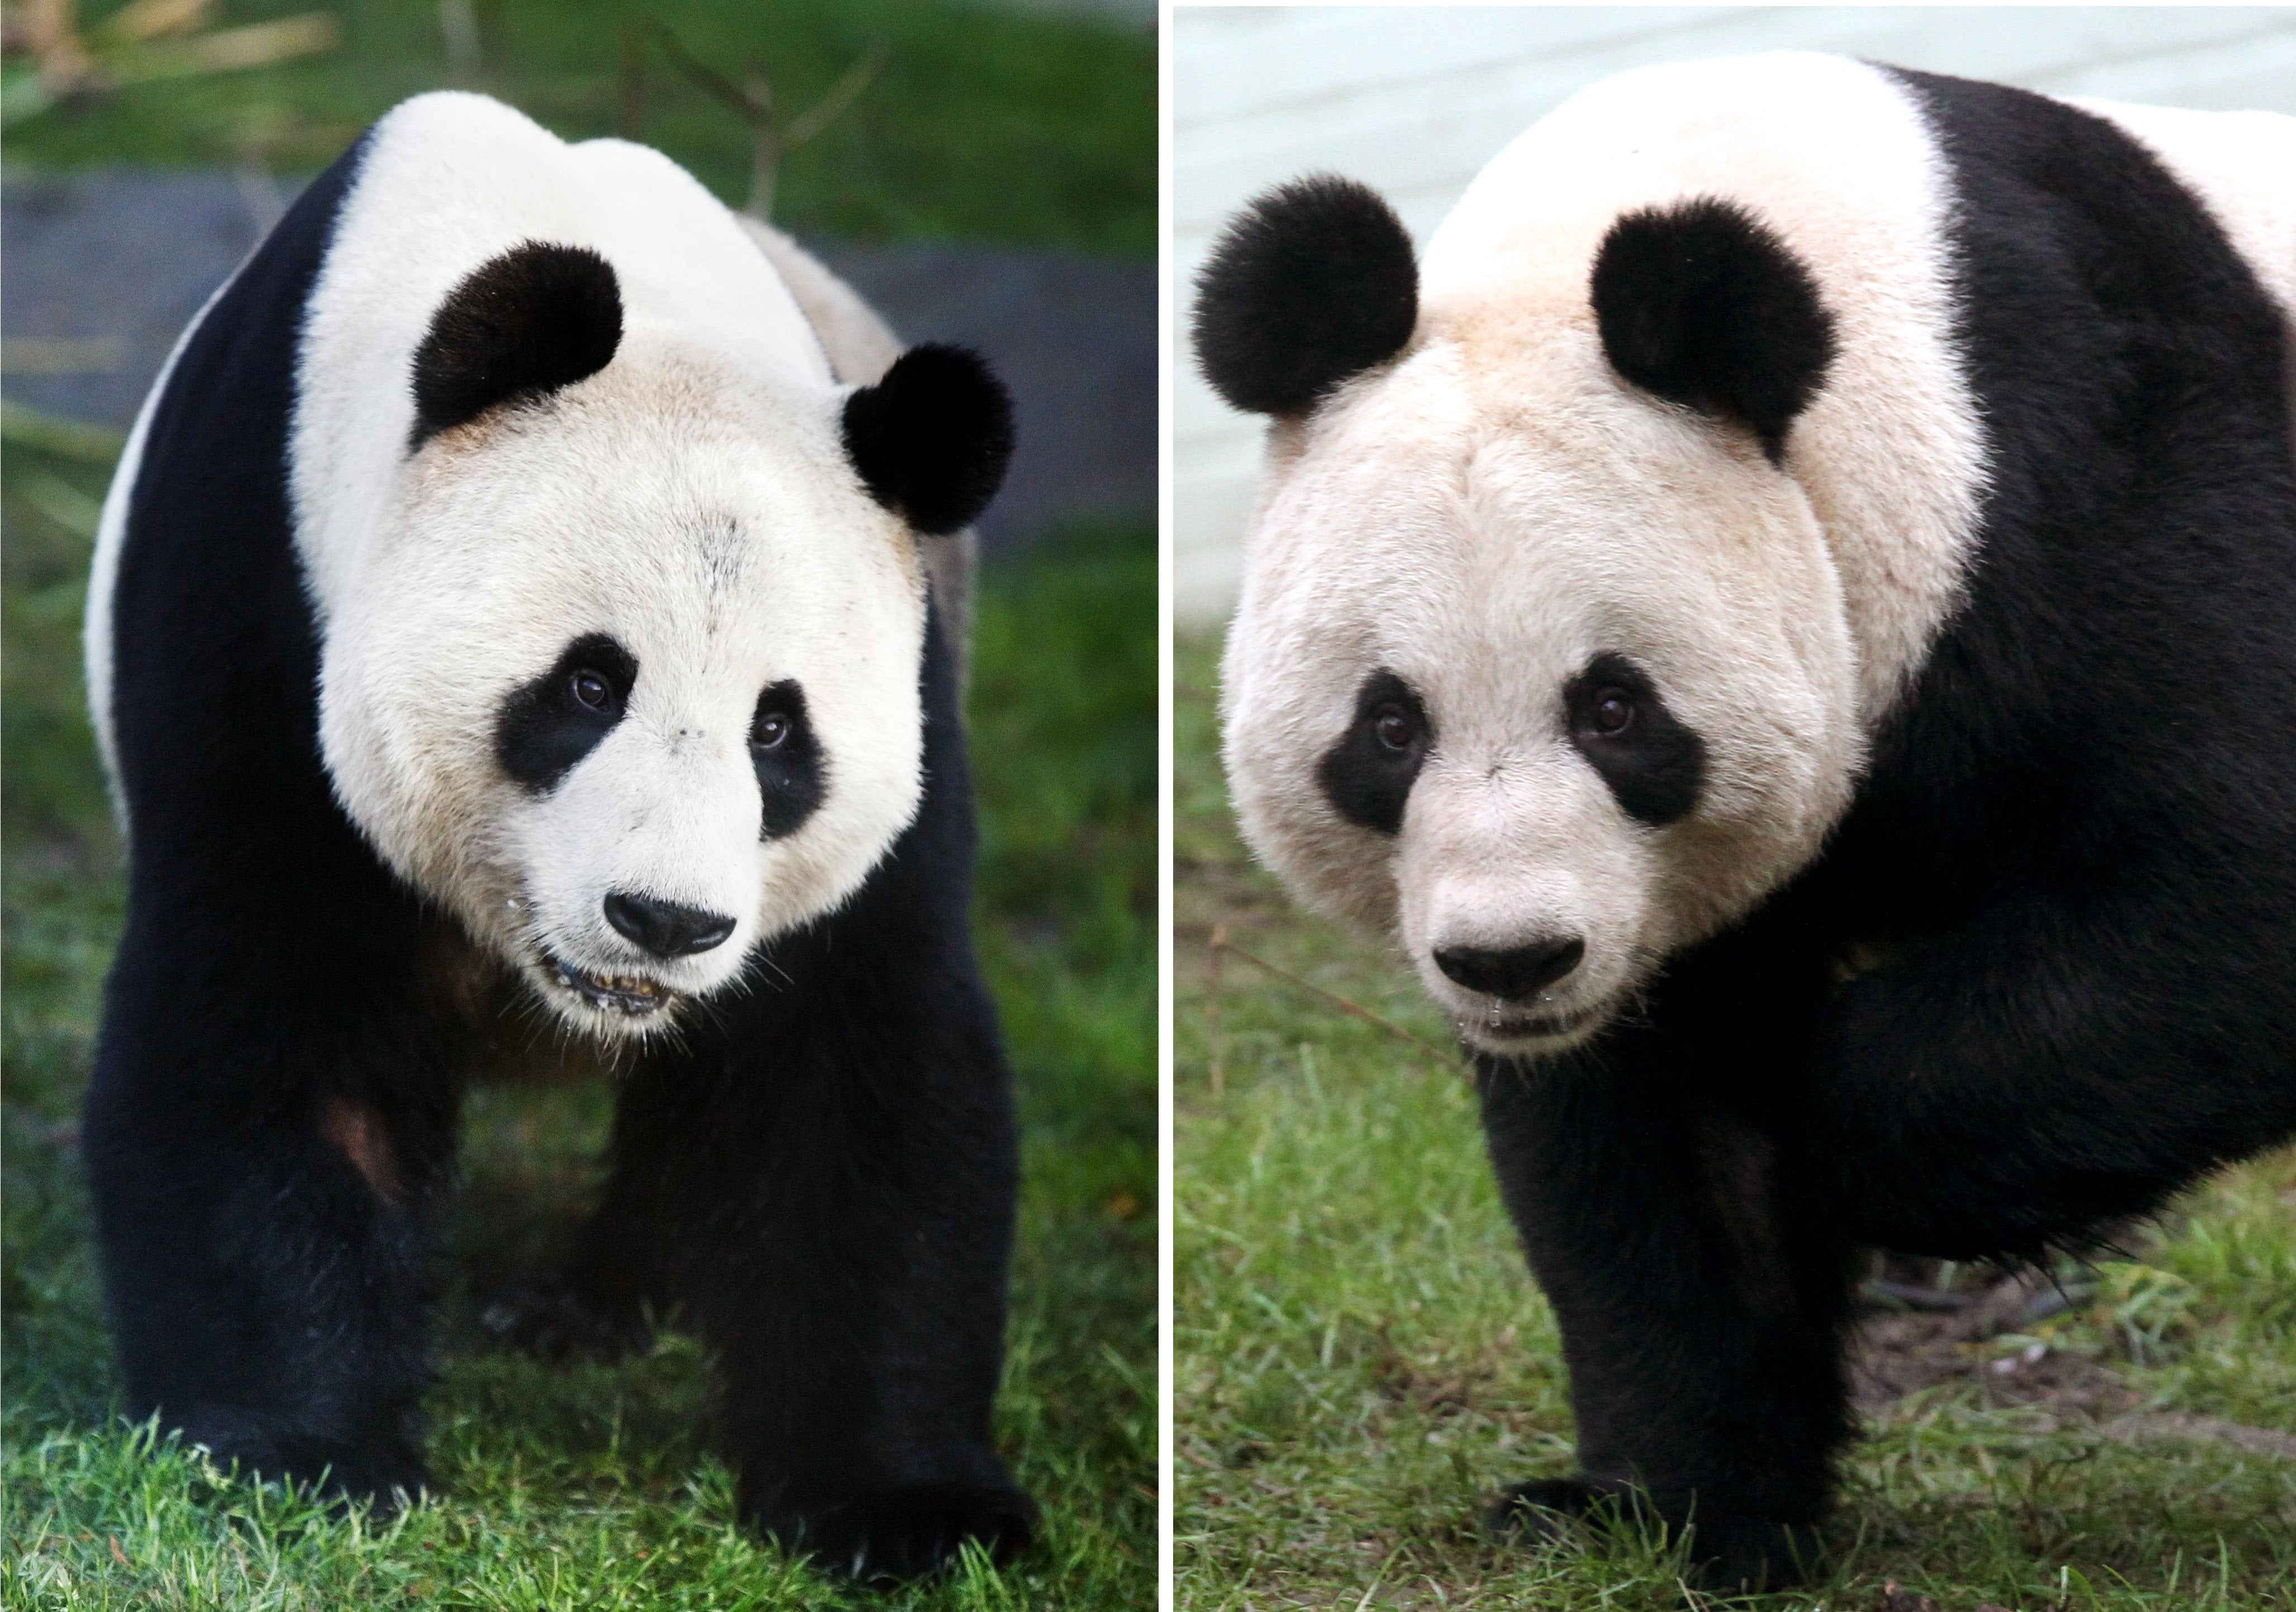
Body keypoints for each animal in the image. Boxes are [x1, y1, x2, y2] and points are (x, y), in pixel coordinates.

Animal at [80, 94, 1033, 1589]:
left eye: (780, 731)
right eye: (589, 687)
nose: (666, 921)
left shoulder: (908, 693)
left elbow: (861, 1069)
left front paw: (907, 1511)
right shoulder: (260, 598)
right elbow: (266, 1027)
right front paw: (302, 1459)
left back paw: (587, 1308)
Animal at [1194, 54, 2296, 1607]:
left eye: (1613, 708)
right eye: (1389, 729)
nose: (1512, 962)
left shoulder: (2109, 466)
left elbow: (2228, 895)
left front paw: (1848, 1146)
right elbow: (1650, 1143)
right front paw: (1668, 1511)